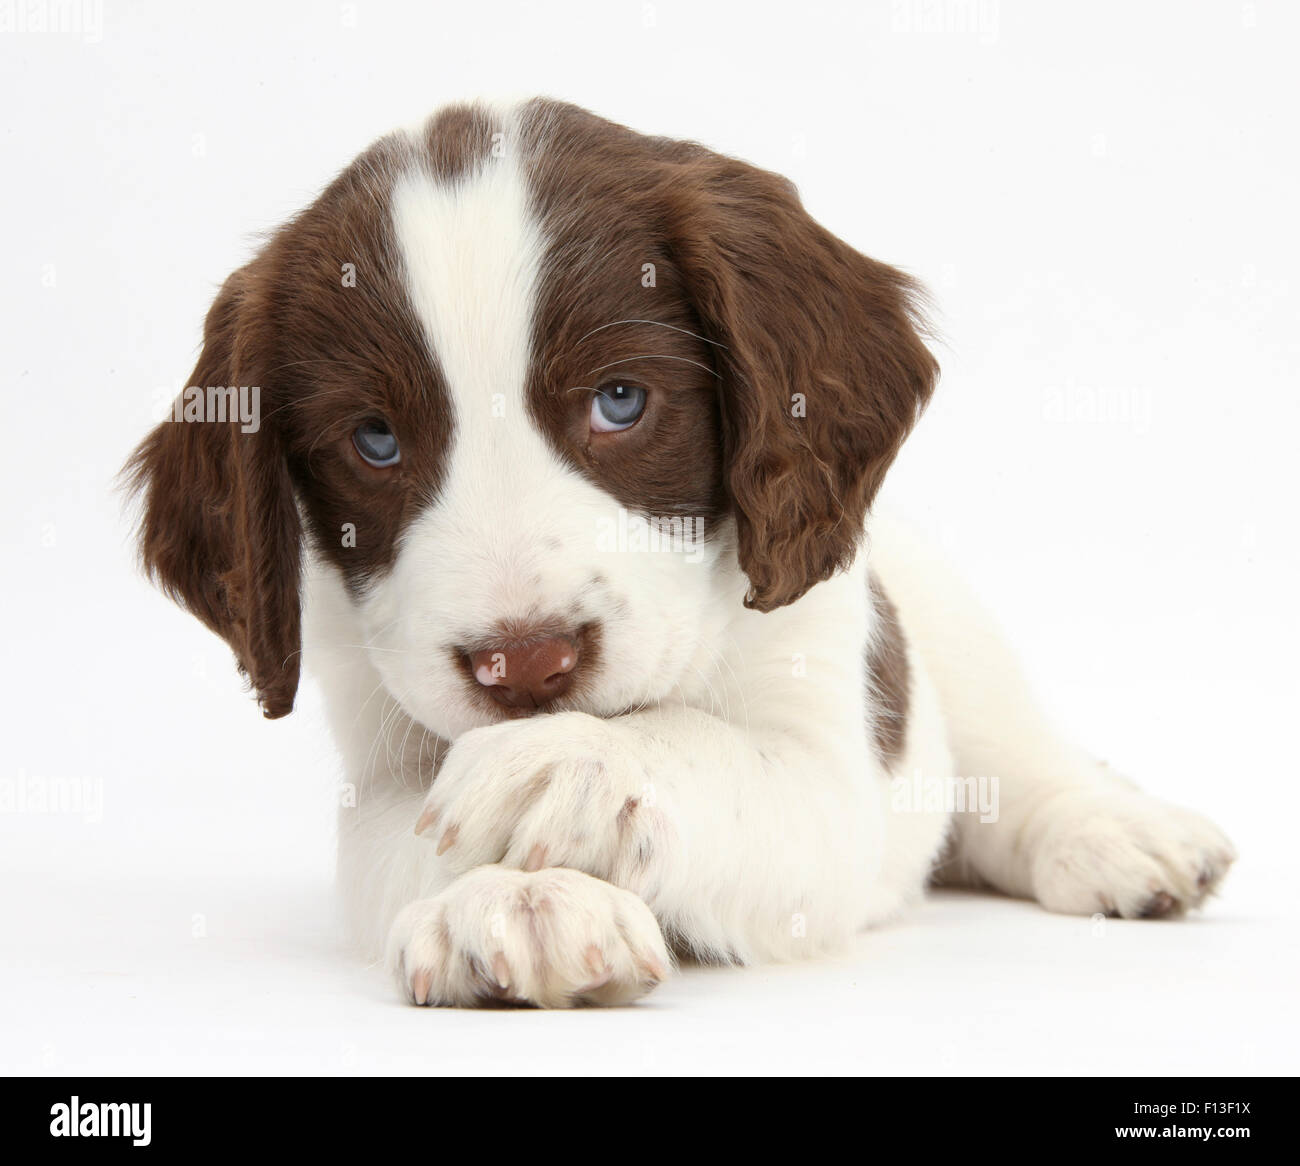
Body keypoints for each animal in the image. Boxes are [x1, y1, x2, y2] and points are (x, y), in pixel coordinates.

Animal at [126, 100, 1232, 1003]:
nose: (525, 666)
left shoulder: (824, 777)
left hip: (949, 629)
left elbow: (699, 746)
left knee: (1016, 762)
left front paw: (570, 759)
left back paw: (1117, 832)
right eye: (375, 441)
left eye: (621, 400)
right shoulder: (381, 774)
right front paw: (509, 902)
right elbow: (419, 844)